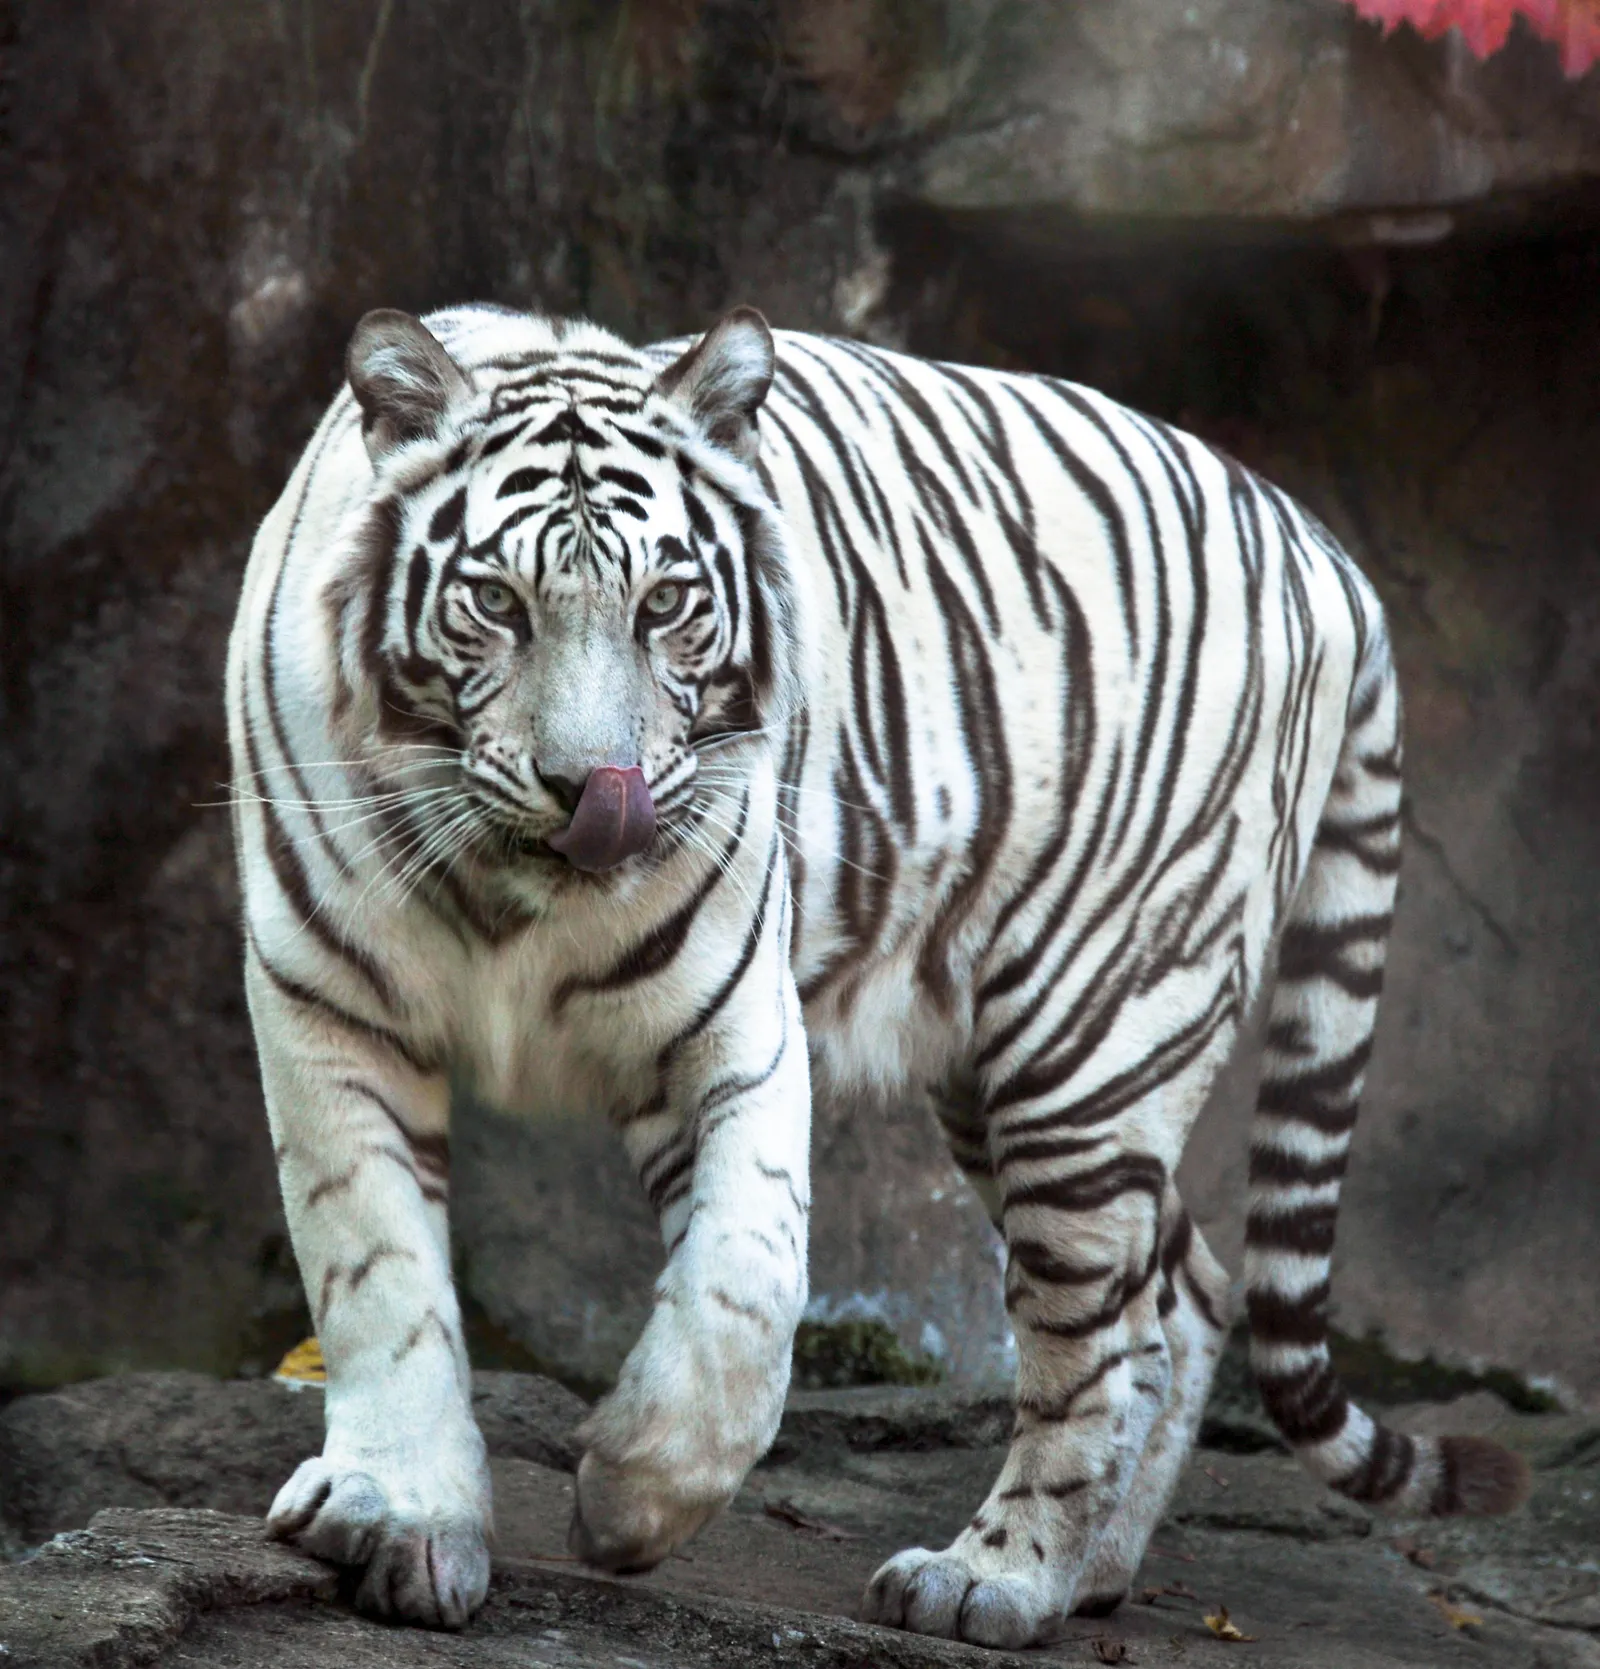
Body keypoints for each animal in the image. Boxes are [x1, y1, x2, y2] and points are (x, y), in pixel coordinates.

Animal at [225, 299, 1528, 1646]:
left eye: (665, 604)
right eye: (496, 602)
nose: (597, 794)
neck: (511, 896)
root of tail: (1321, 547)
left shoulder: (731, 1017)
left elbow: (744, 1289)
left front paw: (630, 1496)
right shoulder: (327, 1003)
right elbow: (376, 1270)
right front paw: (406, 1512)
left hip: (1091, 1037)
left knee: (1097, 1339)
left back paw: (996, 1578)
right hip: (1027, 1072)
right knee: (1191, 1288)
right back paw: (1091, 1571)